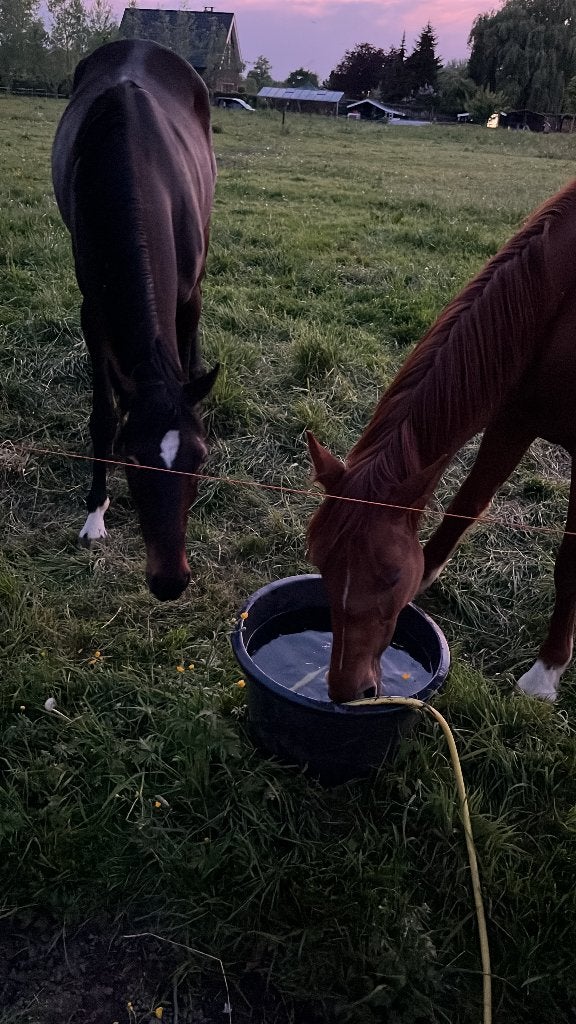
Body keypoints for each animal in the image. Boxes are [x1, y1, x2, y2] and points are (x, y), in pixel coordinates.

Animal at [52, 38, 218, 601]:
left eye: (199, 458)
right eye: (133, 459)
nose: (170, 582)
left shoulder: (190, 295)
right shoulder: (94, 310)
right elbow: (103, 414)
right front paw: (94, 513)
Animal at [307, 178, 576, 703]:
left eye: (390, 576)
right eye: (321, 563)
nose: (348, 690)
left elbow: (569, 560)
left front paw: (545, 672)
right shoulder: (514, 418)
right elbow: (465, 507)